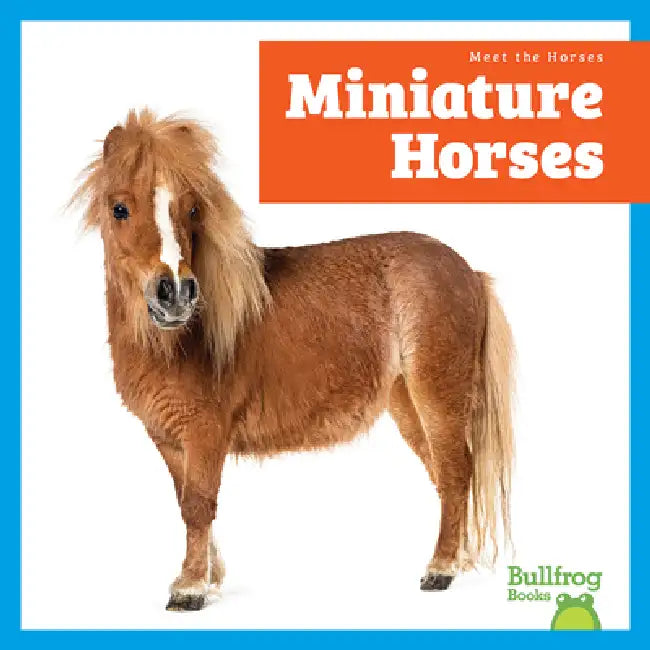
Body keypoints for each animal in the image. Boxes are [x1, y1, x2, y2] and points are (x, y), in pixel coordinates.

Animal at [72, 108, 514, 612]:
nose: (176, 294)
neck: (179, 340)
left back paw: (439, 570)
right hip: (408, 404)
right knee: (445, 476)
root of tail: (470, 272)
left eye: (191, 209)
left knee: (457, 473)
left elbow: (199, 505)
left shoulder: (205, 432)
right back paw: (455, 560)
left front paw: (190, 589)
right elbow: (187, 503)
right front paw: (209, 577)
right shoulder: (167, 438)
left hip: (438, 396)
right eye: (119, 208)